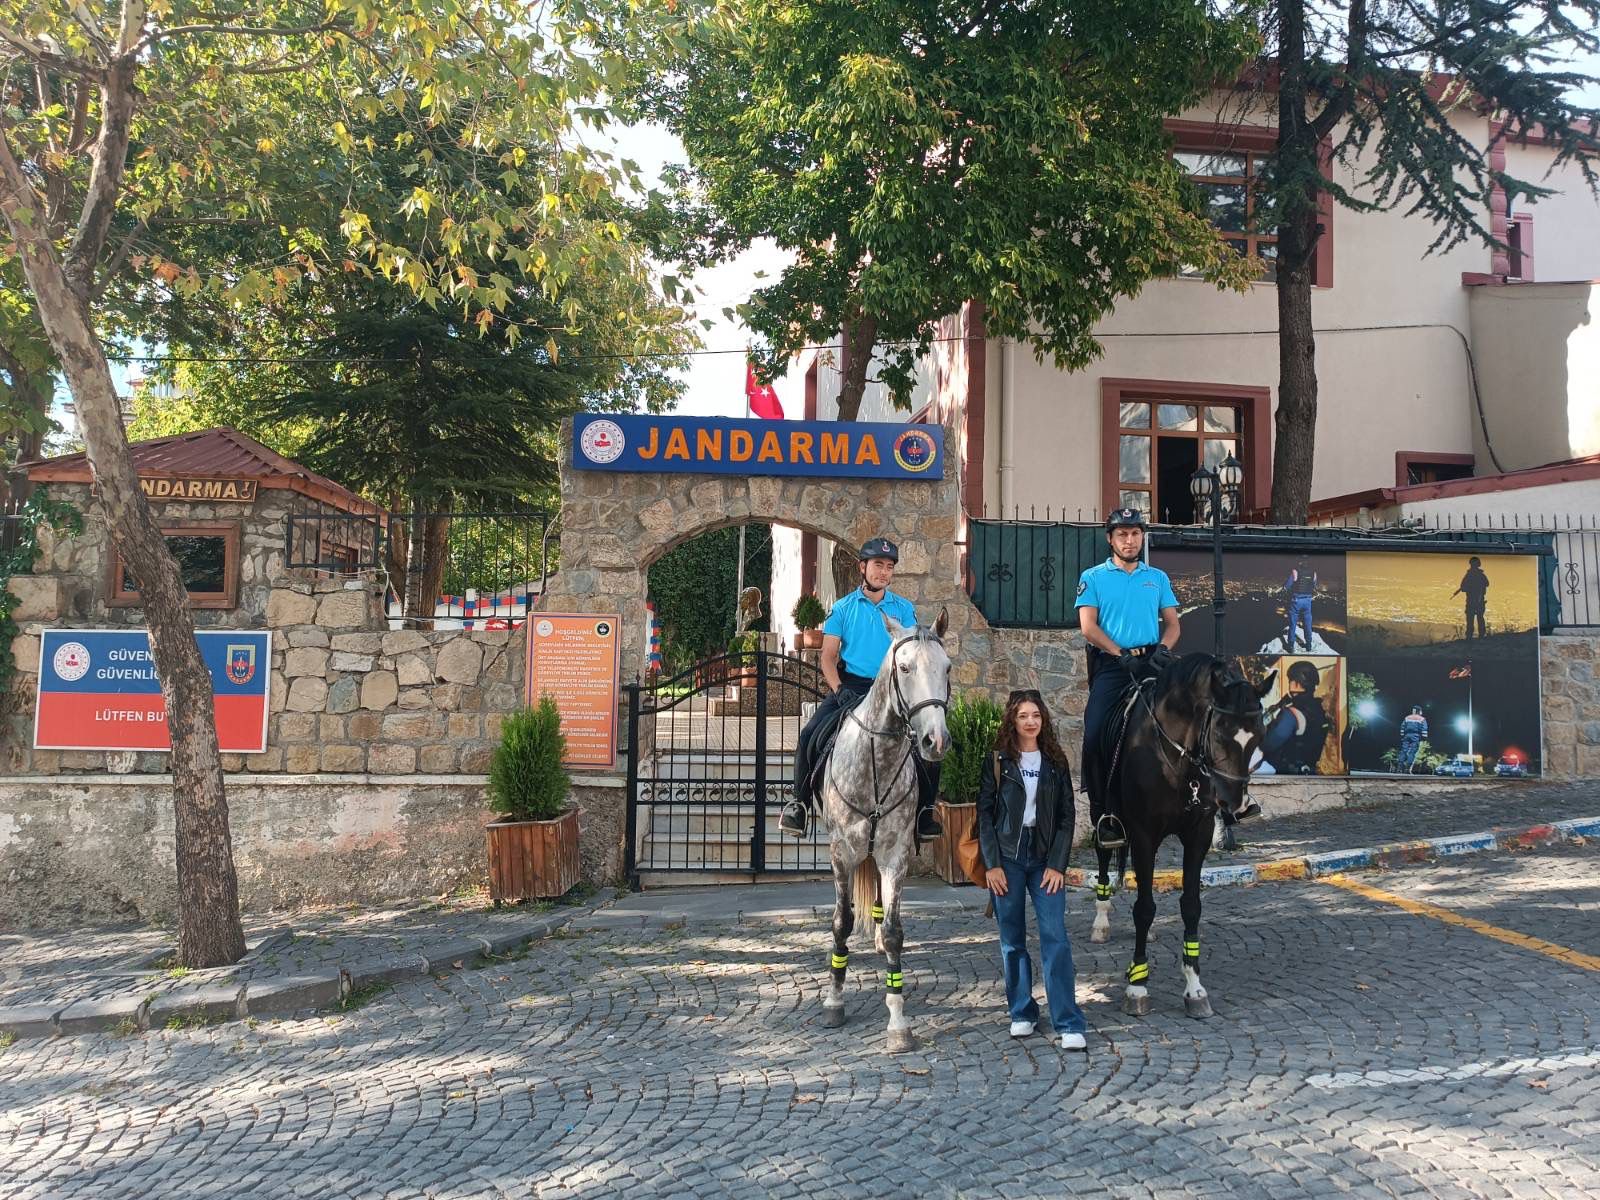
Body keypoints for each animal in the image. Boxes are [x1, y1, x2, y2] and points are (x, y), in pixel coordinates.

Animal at [819, 611, 940, 1049]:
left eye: (947, 668)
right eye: (904, 668)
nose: (935, 740)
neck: (878, 762)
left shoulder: (895, 855)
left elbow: (893, 932)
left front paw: (898, 1021)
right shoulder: (841, 853)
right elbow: (840, 920)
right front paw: (835, 1000)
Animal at [1094, 659, 1267, 1024]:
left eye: (1259, 735)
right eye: (1220, 733)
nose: (1235, 804)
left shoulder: (1198, 835)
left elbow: (1191, 906)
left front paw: (1194, 988)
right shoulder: (1143, 833)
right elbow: (1145, 908)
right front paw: (1137, 987)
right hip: (1101, 810)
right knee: (1104, 857)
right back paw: (1100, 921)